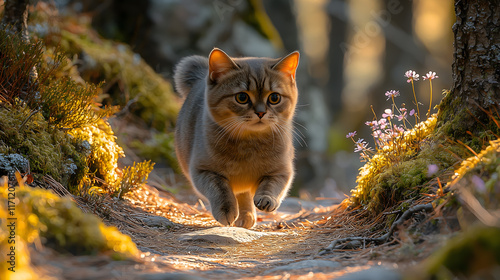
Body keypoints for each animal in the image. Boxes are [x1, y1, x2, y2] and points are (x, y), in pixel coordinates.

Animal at [174, 48, 298, 228]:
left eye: (274, 98)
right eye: (242, 97)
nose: (261, 112)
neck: (249, 144)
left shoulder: (281, 171)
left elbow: (271, 186)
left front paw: (266, 199)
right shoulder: (203, 171)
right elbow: (220, 190)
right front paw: (226, 211)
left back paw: (247, 217)